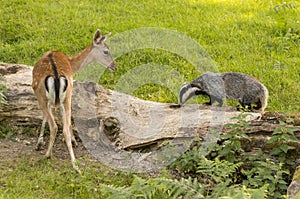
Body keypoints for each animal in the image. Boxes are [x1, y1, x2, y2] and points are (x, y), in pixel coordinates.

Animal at [31, 28, 116, 173]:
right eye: (106, 51)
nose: (114, 67)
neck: (71, 63)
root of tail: (56, 76)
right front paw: (73, 141)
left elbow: (46, 116)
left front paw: (39, 144)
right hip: (67, 94)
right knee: (63, 124)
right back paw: (75, 164)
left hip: (41, 92)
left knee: (55, 126)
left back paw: (48, 155)